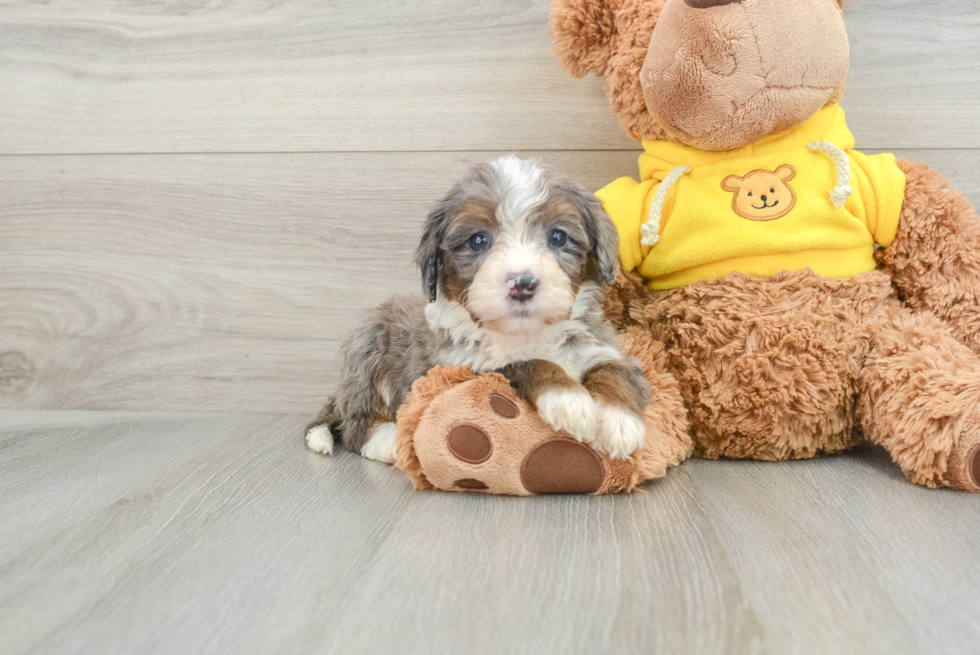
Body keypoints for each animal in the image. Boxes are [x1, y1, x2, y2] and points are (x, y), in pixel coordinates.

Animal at [304, 158, 652, 466]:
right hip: (368, 348)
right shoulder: (463, 369)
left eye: (558, 236)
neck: (528, 332)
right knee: (355, 425)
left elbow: (615, 371)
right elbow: (525, 363)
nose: (522, 283)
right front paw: (569, 399)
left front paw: (619, 421)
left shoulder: (600, 346)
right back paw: (389, 441)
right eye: (478, 240)